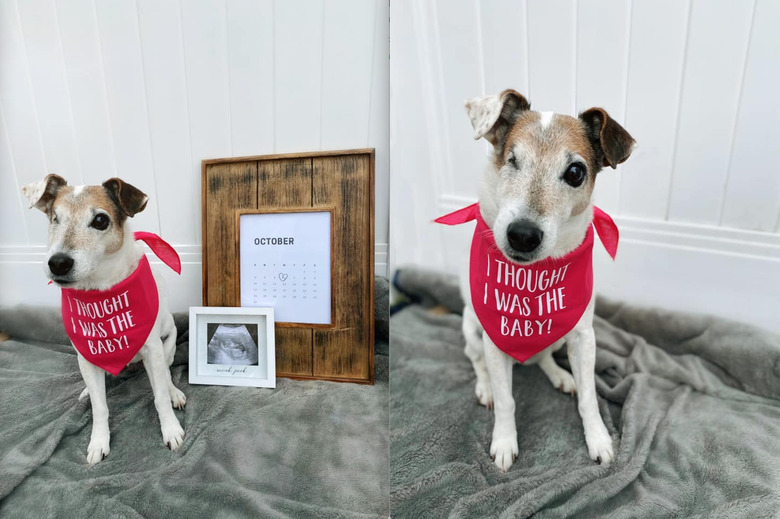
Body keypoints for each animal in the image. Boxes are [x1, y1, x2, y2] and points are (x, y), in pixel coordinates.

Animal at [22, 176, 186, 468]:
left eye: (100, 220)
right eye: (55, 218)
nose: (58, 263)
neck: (101, 291)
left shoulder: (153, 350)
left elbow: (160, 398)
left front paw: (171, 429)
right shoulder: (86, 356)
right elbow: (100, 407)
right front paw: (99, 441)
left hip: (168, 344)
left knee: (167, 375)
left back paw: (174, 392)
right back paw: (87, 392)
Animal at [444, 89, 632, 472]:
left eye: (575, 172)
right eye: (512, 160)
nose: (522, 235)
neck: (533, 276)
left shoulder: (583, 338)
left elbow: (589, 397)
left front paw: (599, 439)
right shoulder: (495, 339)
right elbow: (507, 400)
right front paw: (504, 441)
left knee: (545, 357)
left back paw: (561, 376)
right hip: (472, 328)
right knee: (475, 360)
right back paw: (485, 387)